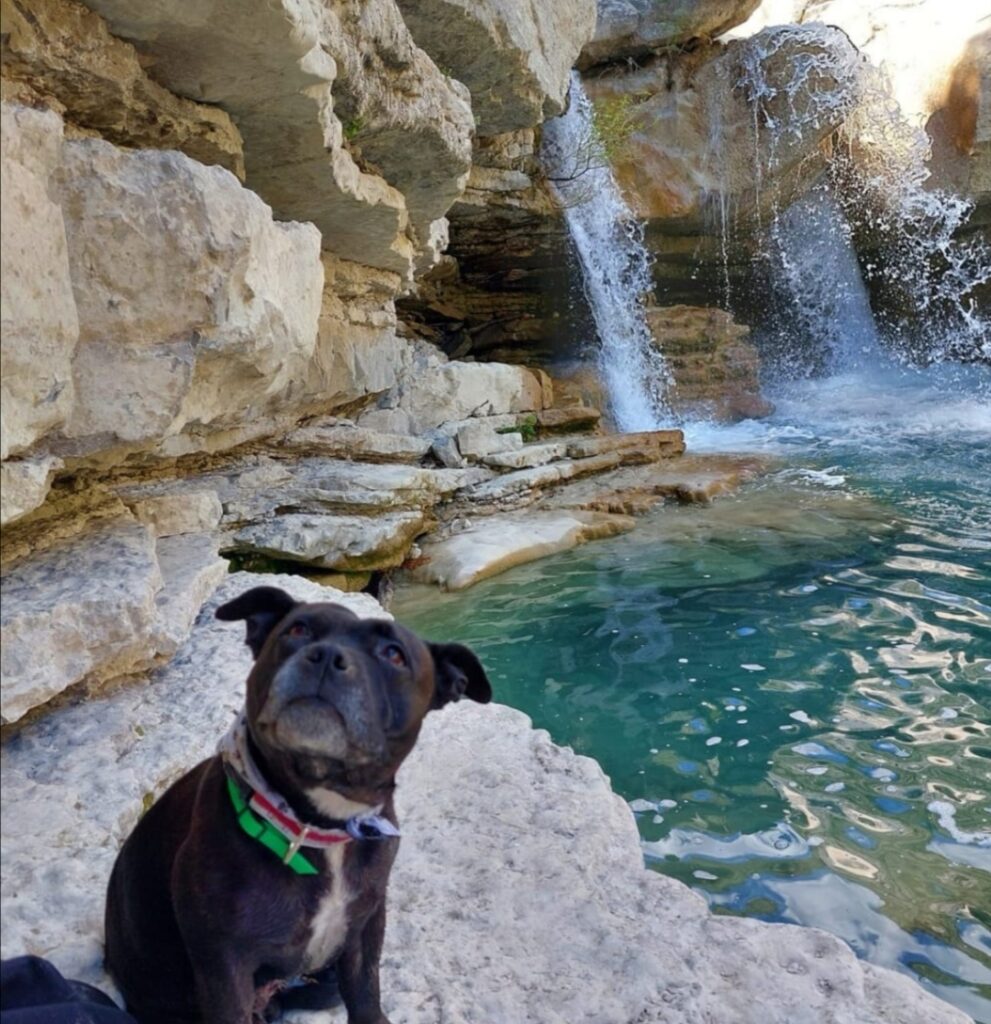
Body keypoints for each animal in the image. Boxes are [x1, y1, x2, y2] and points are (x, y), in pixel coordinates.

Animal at [104, 589, 491, 1024]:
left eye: (394, 654)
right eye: (297, 630)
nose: (326, 655)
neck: (316, 825)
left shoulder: (363, 931)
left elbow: (366, 997)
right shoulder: (224, 969)